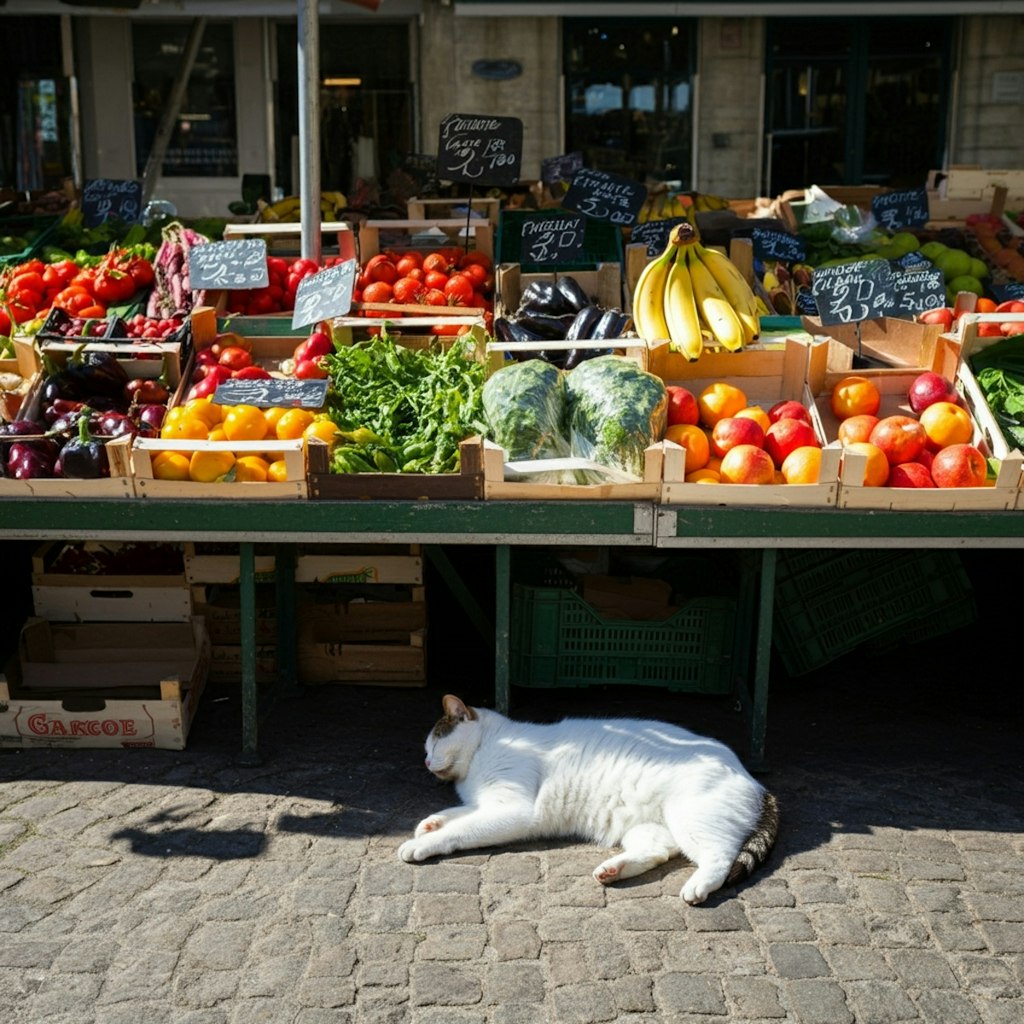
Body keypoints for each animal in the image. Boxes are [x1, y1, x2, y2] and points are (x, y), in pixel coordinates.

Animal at [397, 696, 774, 905]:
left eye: (434, 743)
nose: (426, 761)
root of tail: (753, 778)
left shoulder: (513, 809)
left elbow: (461, 829)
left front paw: (424, 842)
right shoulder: (485, 803)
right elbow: (459, 812)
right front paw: (431, 822)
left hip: (690, 819)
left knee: (720, 857)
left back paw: (698, 885)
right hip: (646, 828)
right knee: (658, 851)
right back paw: (613, 870)